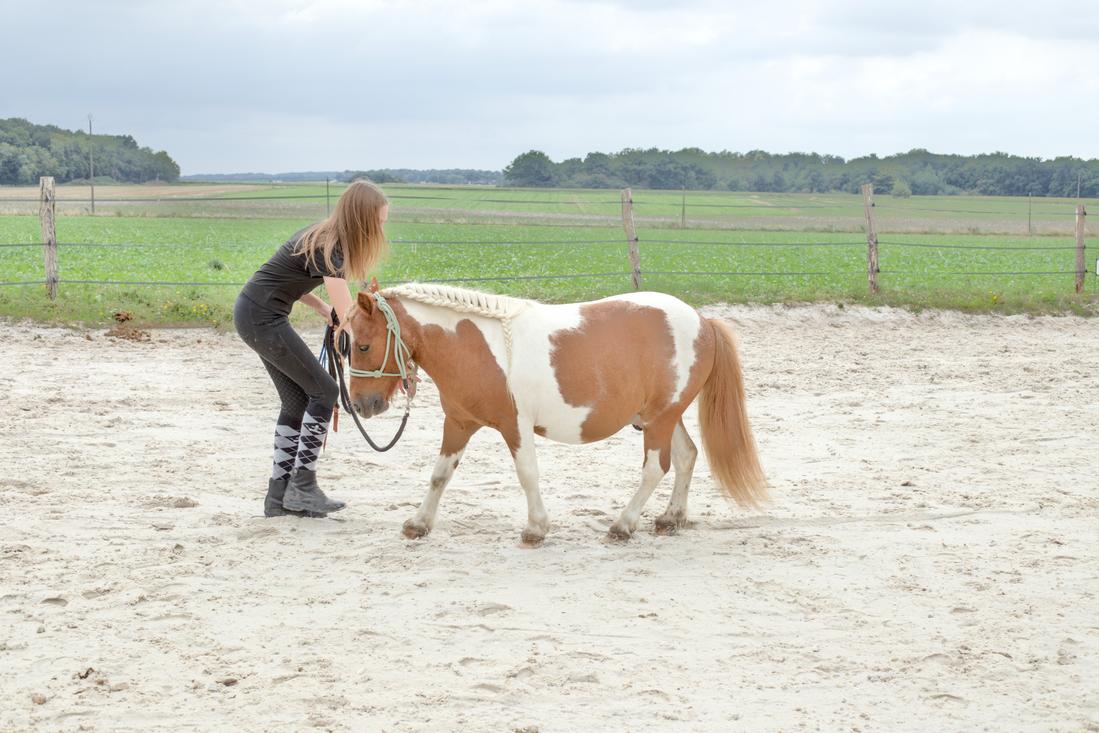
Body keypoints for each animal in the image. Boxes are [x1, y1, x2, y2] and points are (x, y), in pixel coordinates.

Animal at [343, 279, 766, 545]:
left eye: (362, 345)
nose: (363, 405)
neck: (475, 346)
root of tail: (704, 321)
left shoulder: (515, 426)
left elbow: (527, 475)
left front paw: (536, 529)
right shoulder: (459, 423)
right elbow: (440, 475)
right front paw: (418, 524)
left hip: (660, 419)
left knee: (656, 468)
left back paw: (623, 525)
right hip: (661, 416)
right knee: (686, 457)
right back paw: (669, 519)